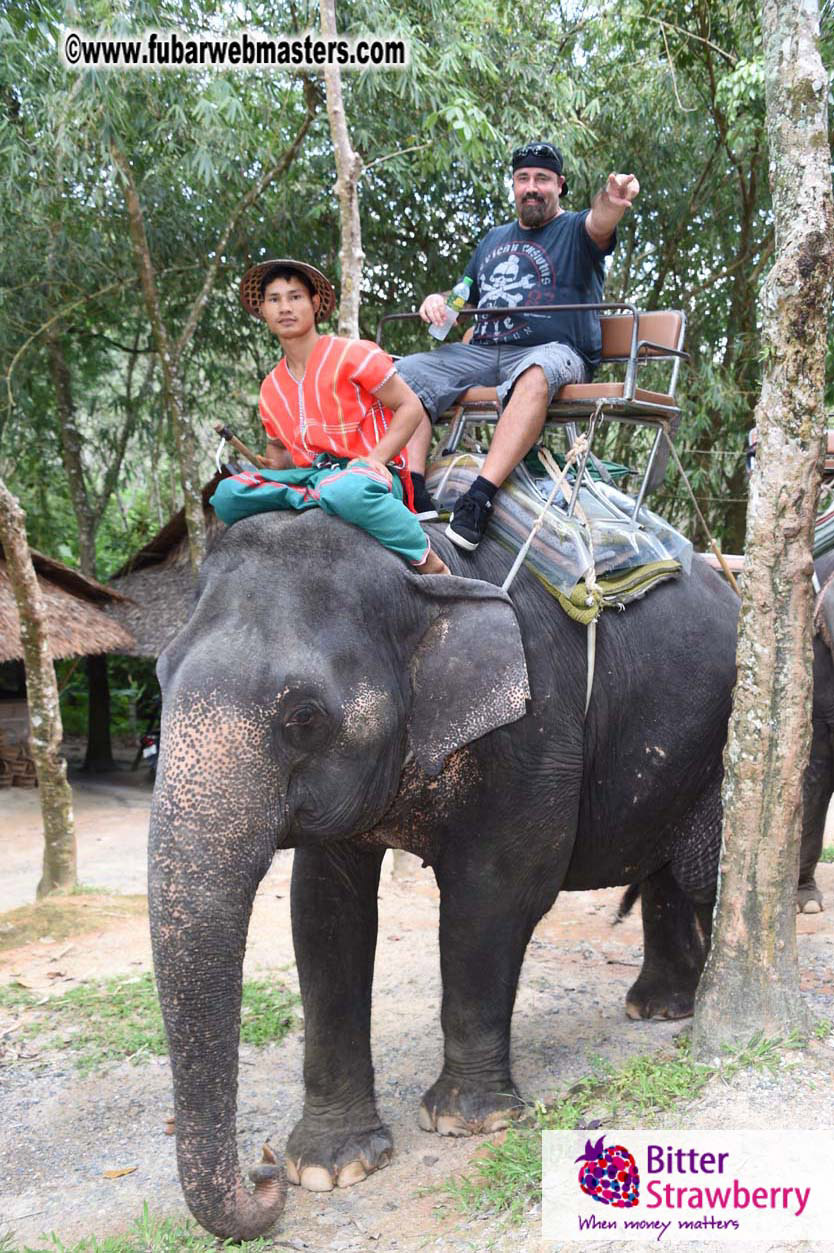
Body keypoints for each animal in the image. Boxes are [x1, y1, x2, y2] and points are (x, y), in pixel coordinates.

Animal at [149, 508, 738, 1241]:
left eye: (304, 717)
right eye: (158, 678)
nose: (260, 1173)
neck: (420, 576)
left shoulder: (535, 725)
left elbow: (494, 891)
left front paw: (468, 1120)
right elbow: (323, 912)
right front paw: (327, 1167)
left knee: (700, 870)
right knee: (665, 870)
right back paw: (657, 1008)